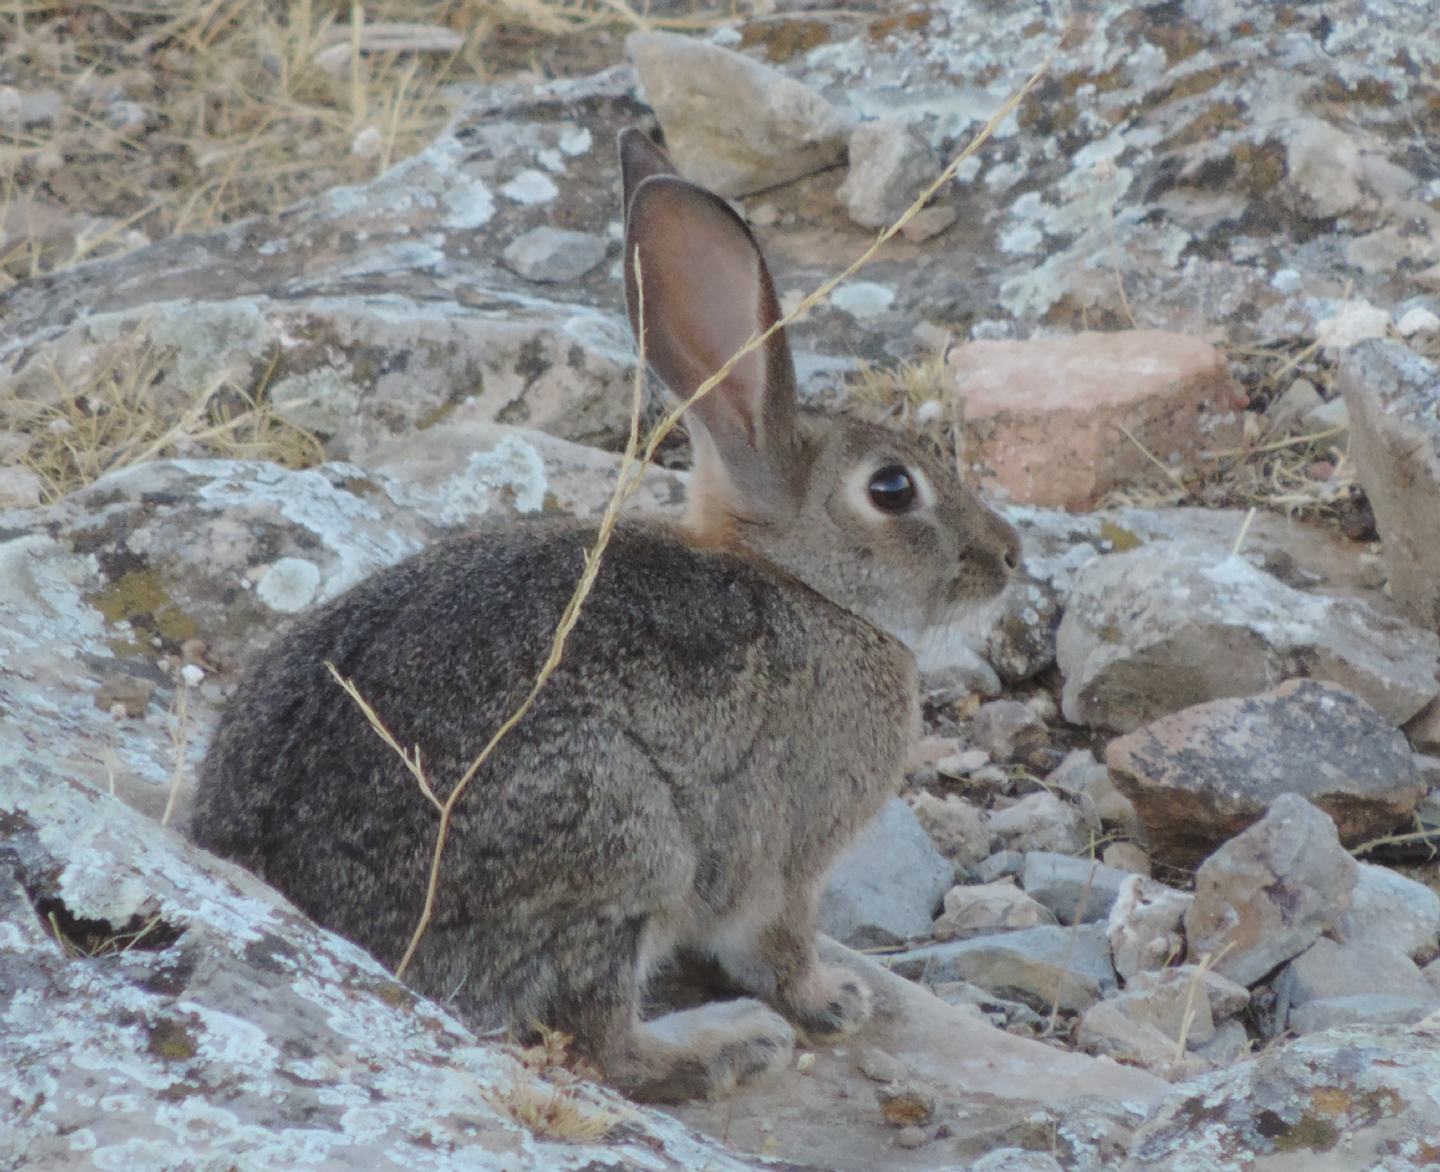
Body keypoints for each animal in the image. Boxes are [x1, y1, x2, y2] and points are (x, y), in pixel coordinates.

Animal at [194, 131, 1025, 1111]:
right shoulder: (788, 861)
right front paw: (832, 1001)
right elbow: (778, 947)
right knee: (600, 1042)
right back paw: (729, 1046)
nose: (1009, 556)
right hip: (622, 839)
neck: (805, 586)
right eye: (893, 488)